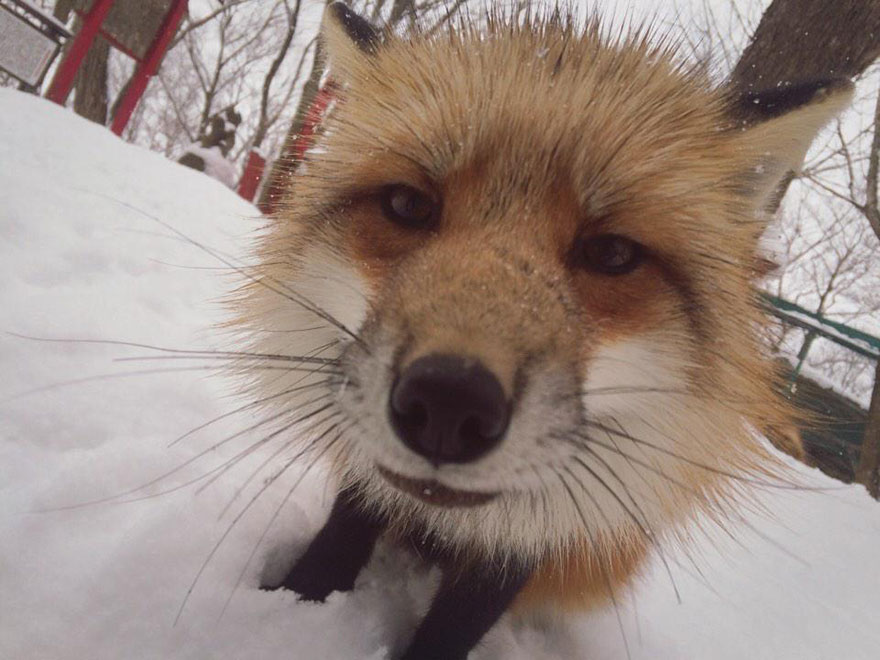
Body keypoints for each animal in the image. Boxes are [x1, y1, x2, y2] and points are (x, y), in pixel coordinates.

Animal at [237, 3, 853, 659]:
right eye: (407, 205)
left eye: (611, 254)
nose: (449, 404)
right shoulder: (370, 469)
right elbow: (341, 535)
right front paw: (297, 602)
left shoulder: (542, 529)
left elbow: (459, 621)